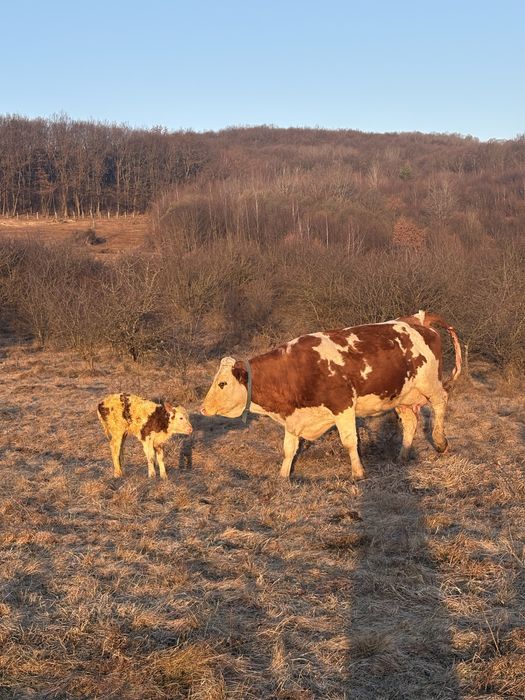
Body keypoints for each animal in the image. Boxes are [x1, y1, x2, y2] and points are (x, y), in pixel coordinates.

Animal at [200, 311, 461, 480]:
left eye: (222, 383)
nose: (203, 408)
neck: (297, 369)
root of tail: (417, 319)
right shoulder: (294, 417)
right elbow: (289, 448)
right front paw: (283, 476)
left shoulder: (343, 406)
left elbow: (349, 441)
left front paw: (358, 473)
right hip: (402, 396)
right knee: (410, 423)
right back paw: (403, 455)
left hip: (430, 384)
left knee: (441, 403)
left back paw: (440, 441)